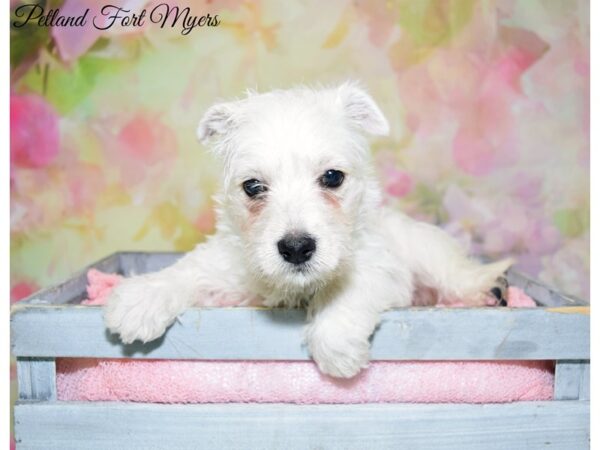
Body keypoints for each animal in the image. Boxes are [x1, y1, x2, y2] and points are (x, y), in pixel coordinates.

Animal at [104, 82, 510, 378]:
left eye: (332, 177)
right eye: (253, 186)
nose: (297, 247)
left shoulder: (380, 269)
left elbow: (346, 293)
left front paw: (337, 346)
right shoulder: (226, 270)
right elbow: (188, 271)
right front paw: (142, 299)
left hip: (429, 254)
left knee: (459, 275)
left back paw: (491, 289)